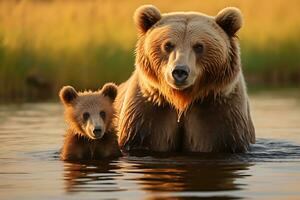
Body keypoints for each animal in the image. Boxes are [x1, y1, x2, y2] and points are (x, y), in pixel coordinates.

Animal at [115, 4, 255, 152]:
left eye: (199, 46)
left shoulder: (222, 113)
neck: (182, 100)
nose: (180, 72)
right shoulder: (146, 114)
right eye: (168, 45)